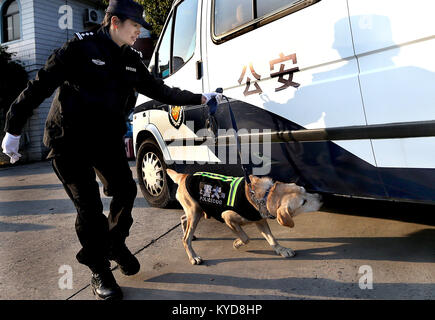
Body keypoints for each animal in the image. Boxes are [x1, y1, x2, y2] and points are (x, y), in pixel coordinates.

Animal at [167, 170, 324, 264]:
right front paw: (237, 243)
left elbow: (272, 238)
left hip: (197, 211)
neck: (265, 195)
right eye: (303, 202)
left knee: (183, 219)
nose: (321, 198)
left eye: (305, 190)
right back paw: (193, 256)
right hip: (195, 212)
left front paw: (281, 249)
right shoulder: (227, 217)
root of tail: (184, 176)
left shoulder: (260, 220)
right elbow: (245, 237)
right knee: (185, 239)